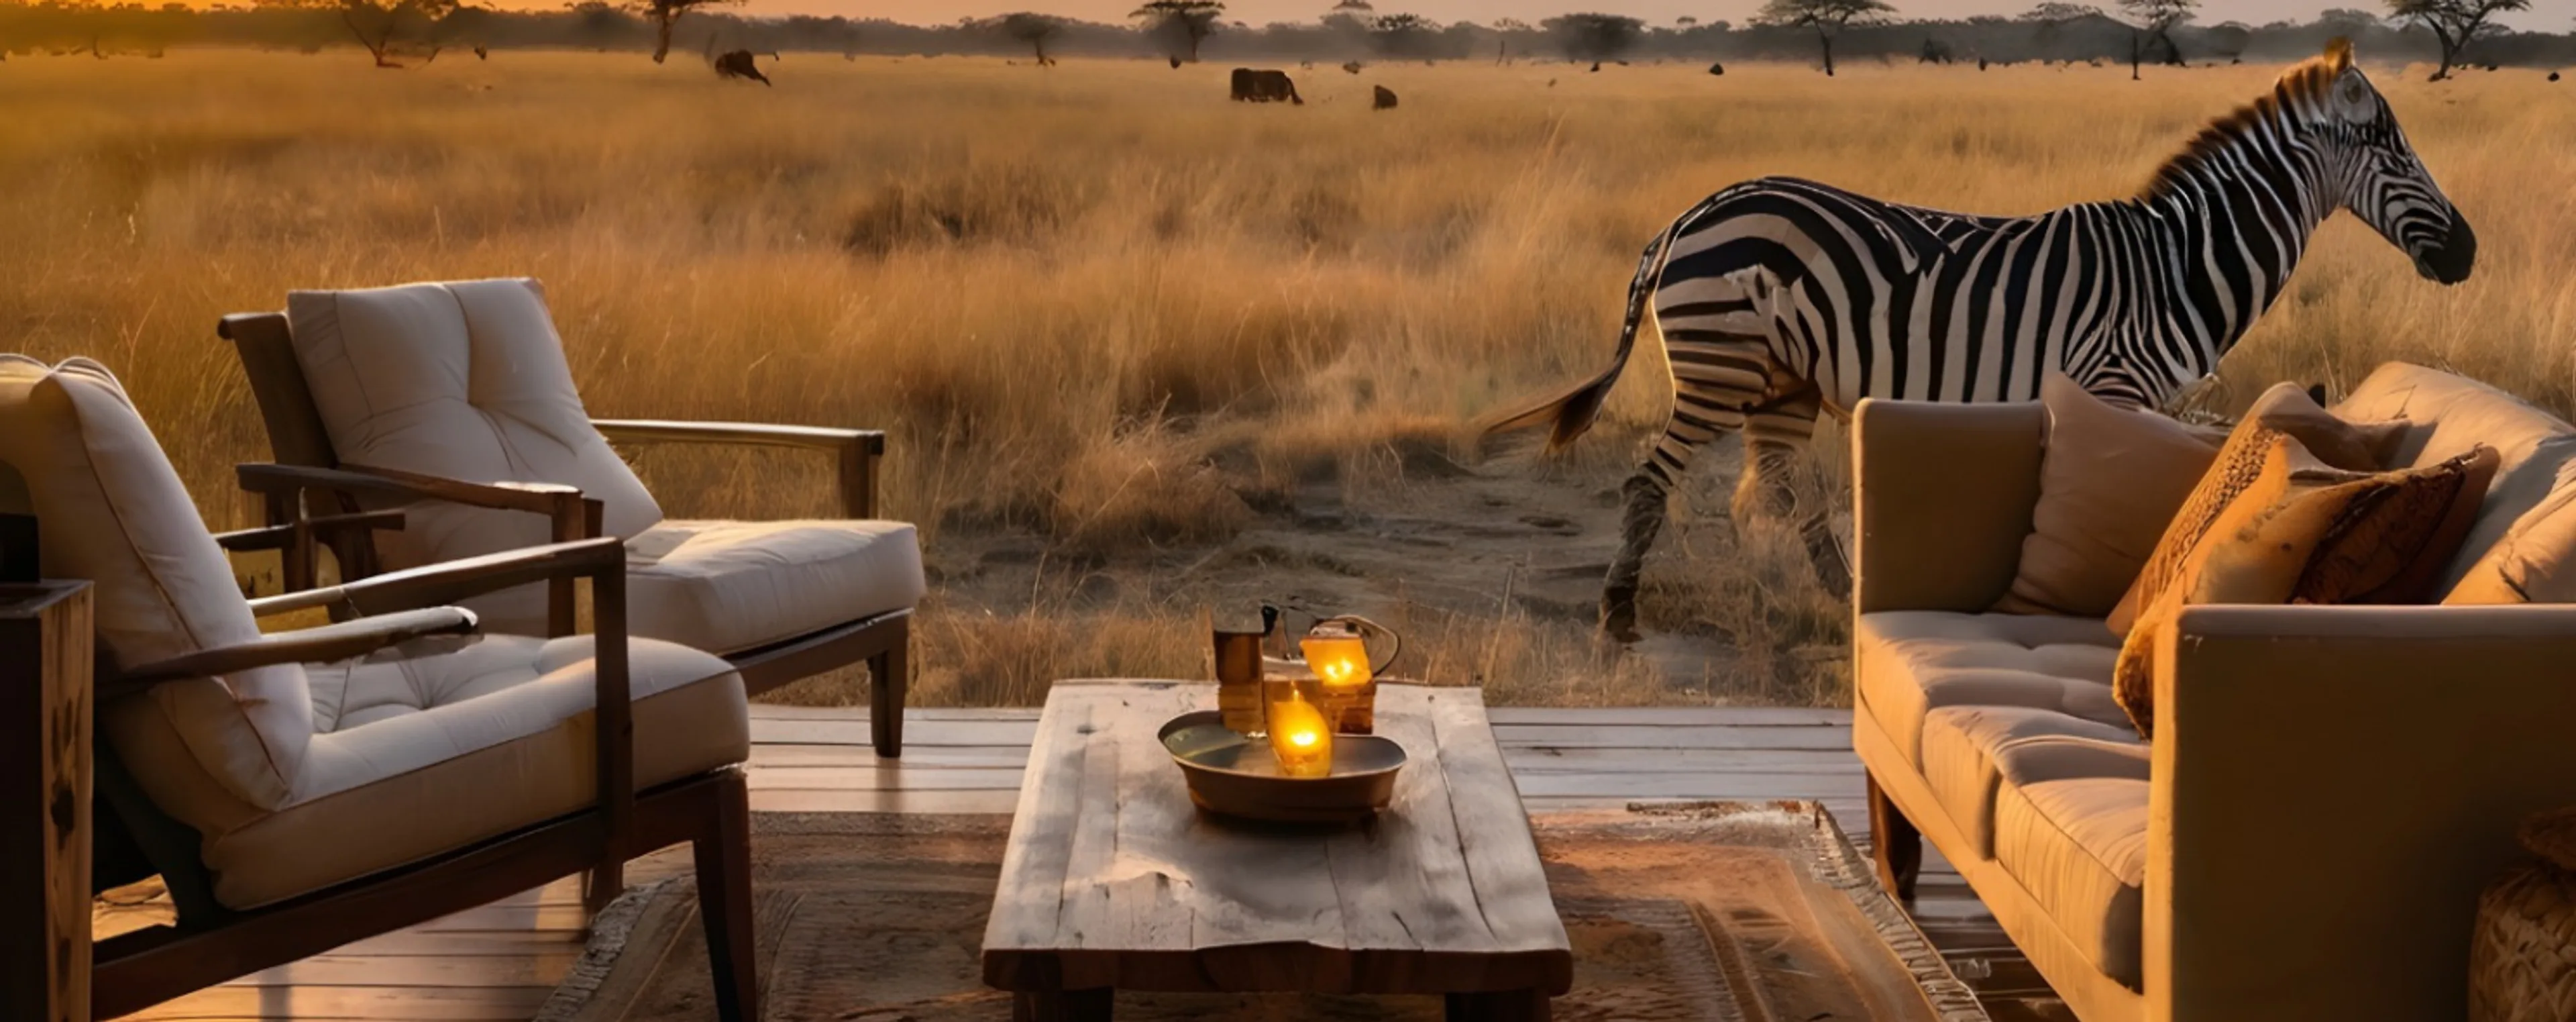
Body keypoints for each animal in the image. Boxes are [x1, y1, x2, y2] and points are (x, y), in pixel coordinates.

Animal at [1481, 39, 2475, 641]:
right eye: (2390, 146)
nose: (2467, 251)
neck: (2178, 265)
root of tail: (1693, 212)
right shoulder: (2114, 387)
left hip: (1782, 380)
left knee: (1773, 491)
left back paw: (1834, 596)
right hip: (1717, 365)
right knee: (1653, 482)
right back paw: (1619, 615)